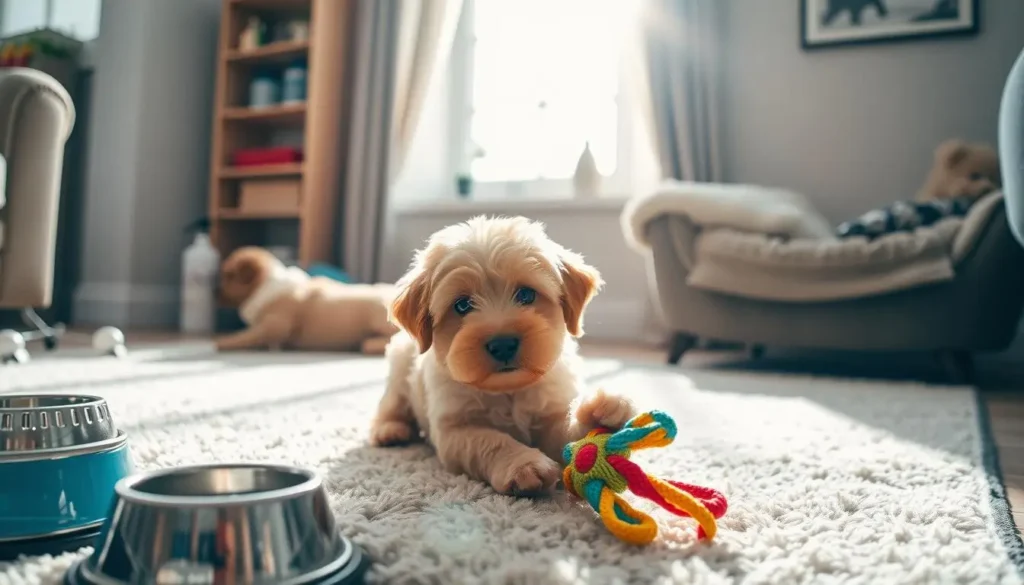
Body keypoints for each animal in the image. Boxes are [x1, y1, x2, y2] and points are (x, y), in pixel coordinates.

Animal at [215, 245, 395, 352]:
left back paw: (371, 343)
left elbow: (247, 334)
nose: (216, 290)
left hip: (377, 316)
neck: (265, 286)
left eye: (228, 275)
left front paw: (224, 341)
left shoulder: (274, 325)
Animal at [372, 215, 634, 493]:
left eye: (526, 294)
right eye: (462, 305)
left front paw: (600, 416)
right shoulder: (454, 430)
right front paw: (523, 463)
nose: (503, 344)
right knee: (391, 405)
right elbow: (492, 441)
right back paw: (389, 430)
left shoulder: (549, 411)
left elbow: (567, 432)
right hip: (399, 370)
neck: (509, 391)